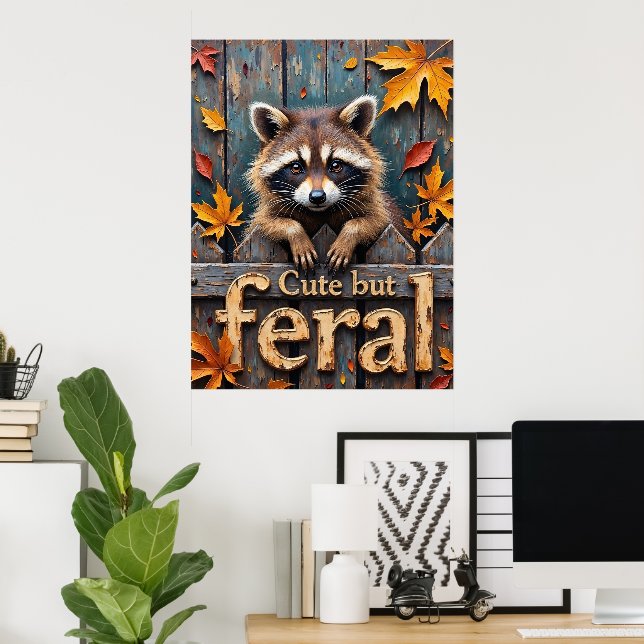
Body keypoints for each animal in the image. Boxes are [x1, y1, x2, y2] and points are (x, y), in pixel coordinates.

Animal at [246, 95, 401, 272]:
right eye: (296, 167)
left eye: (336, 165)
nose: (317, 196)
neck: (320, 213)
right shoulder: (267, 211)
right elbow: (264, 222)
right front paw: (296, 233)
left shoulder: (377, 206)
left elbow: (378, 220)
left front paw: (349, 235)